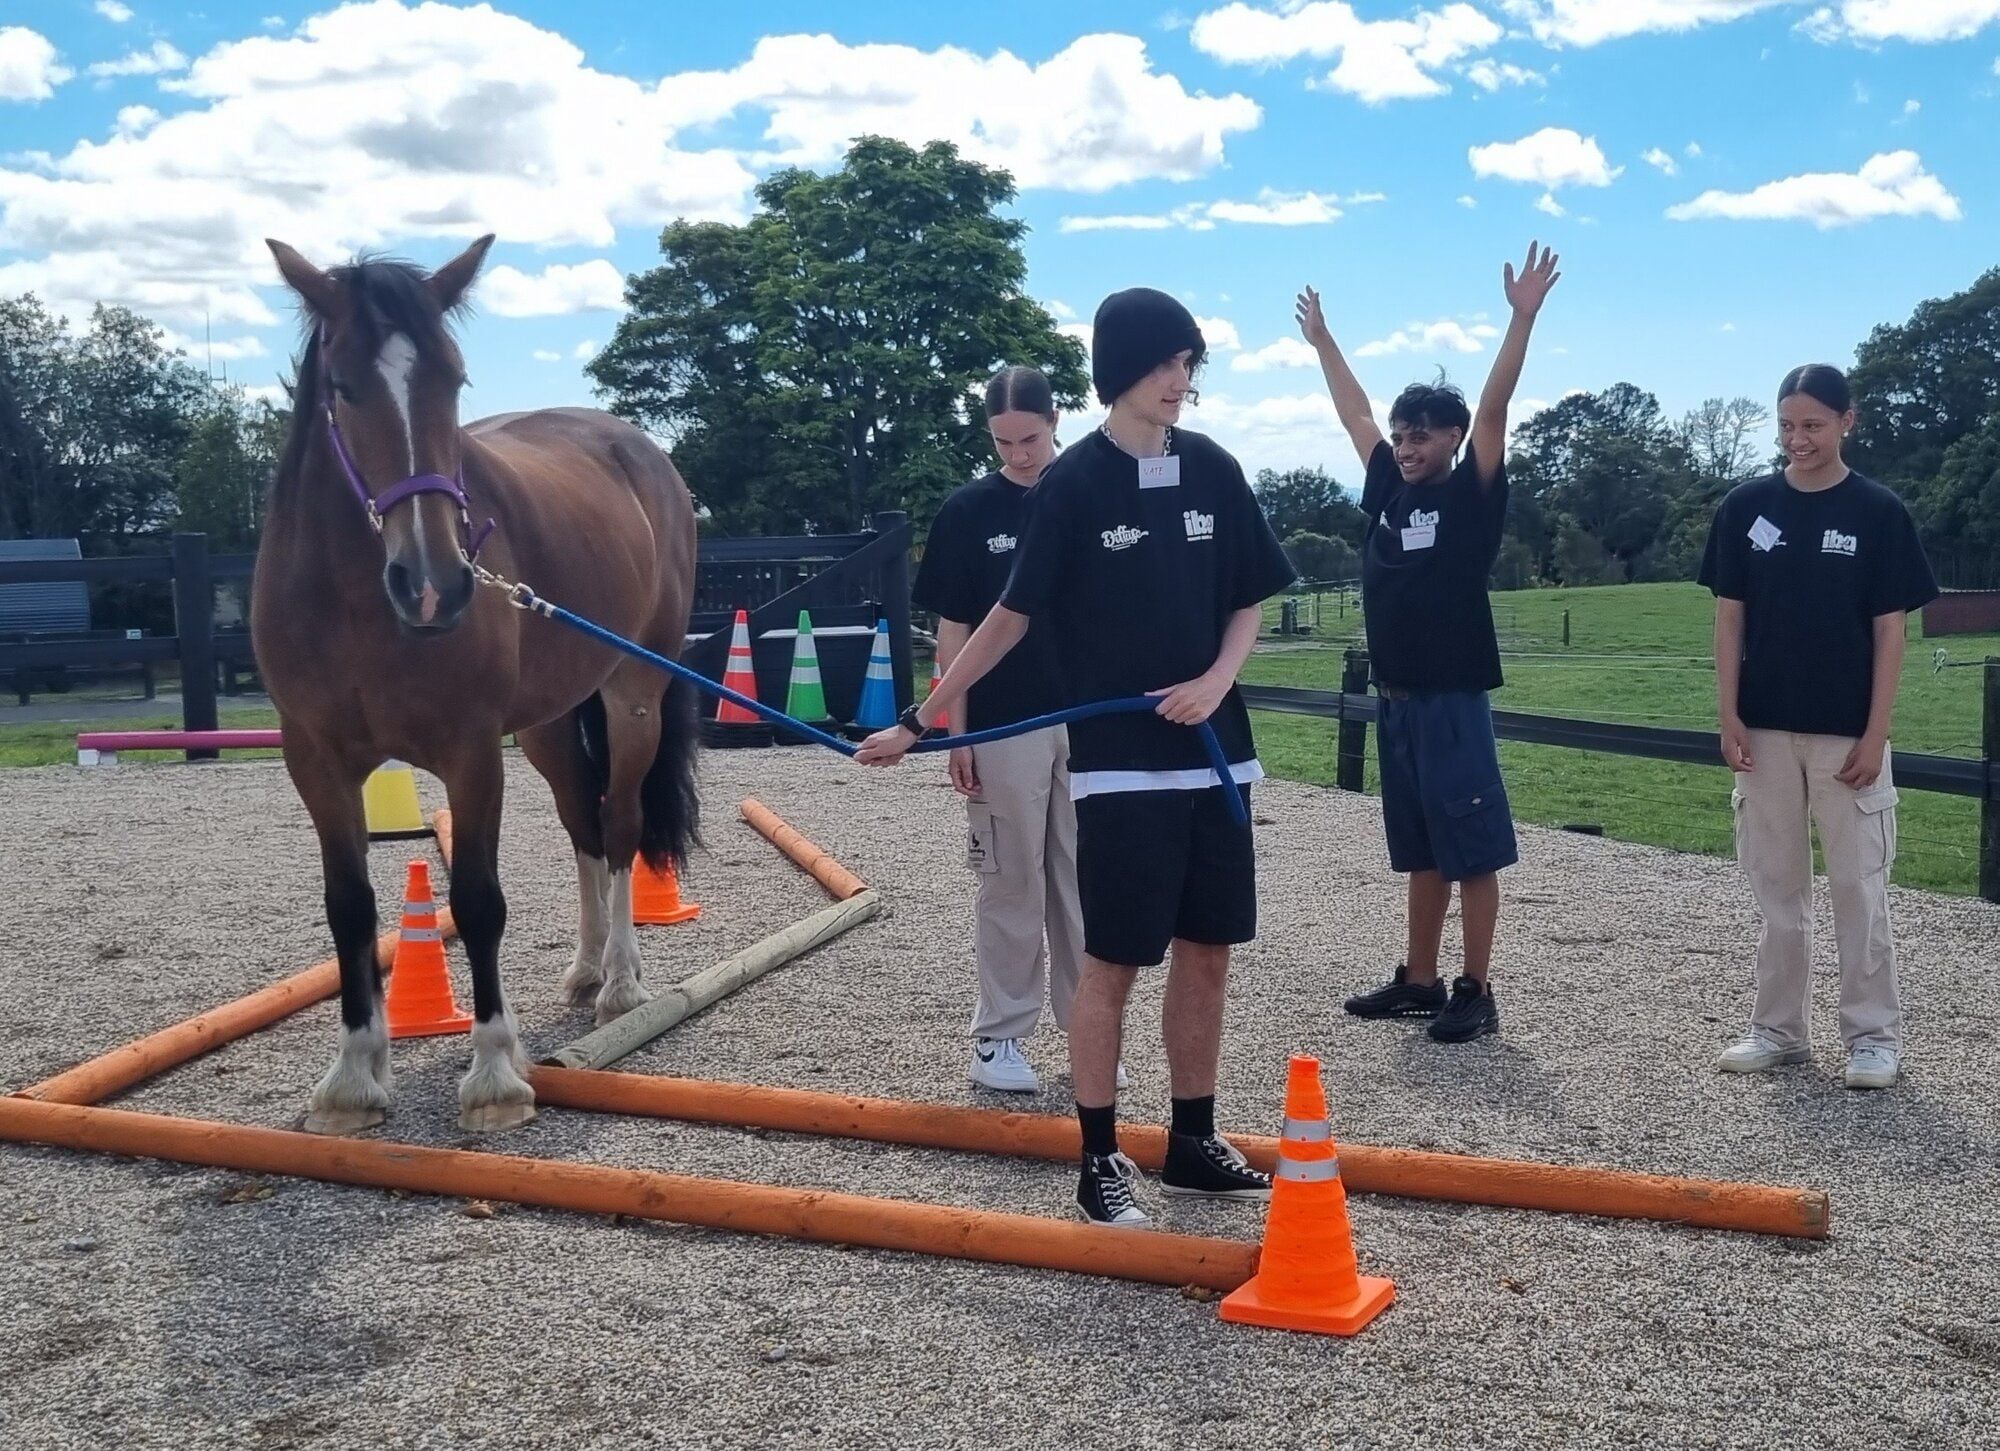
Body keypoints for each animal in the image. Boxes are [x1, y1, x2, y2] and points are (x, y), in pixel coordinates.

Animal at [256, 238, 704, 1135]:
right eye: (342, 385)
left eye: (457, 378)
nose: (434, 584)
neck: (359, 603)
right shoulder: (314, 759)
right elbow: (349, 905)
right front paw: (354, 1077)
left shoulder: (472, 753)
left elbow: (477, 900)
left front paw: (495, 1073)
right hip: (548, 726)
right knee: (583, 825)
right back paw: (586, 967)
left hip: (632, 694)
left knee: (620, 822)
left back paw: (622, 981)